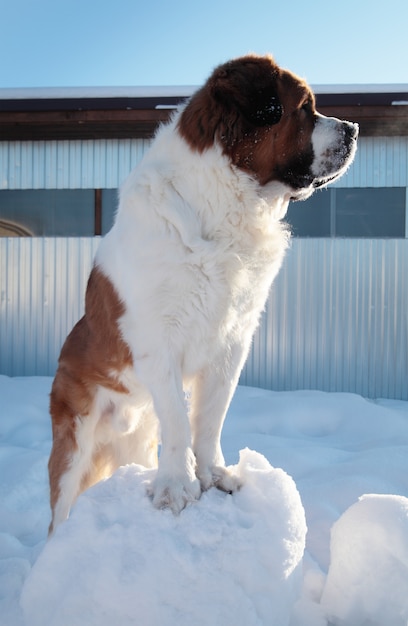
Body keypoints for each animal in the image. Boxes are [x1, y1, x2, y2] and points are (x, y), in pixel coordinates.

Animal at [49, 54, 358, 532]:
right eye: (304, 109)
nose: (354, 129)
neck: (223, 208)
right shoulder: (158, 342)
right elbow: (178, 421)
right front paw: (177, 487)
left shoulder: (232, 341)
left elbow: (211, 415)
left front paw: (212, 473)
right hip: (74, 438)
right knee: (60, 509)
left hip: (134, 442)